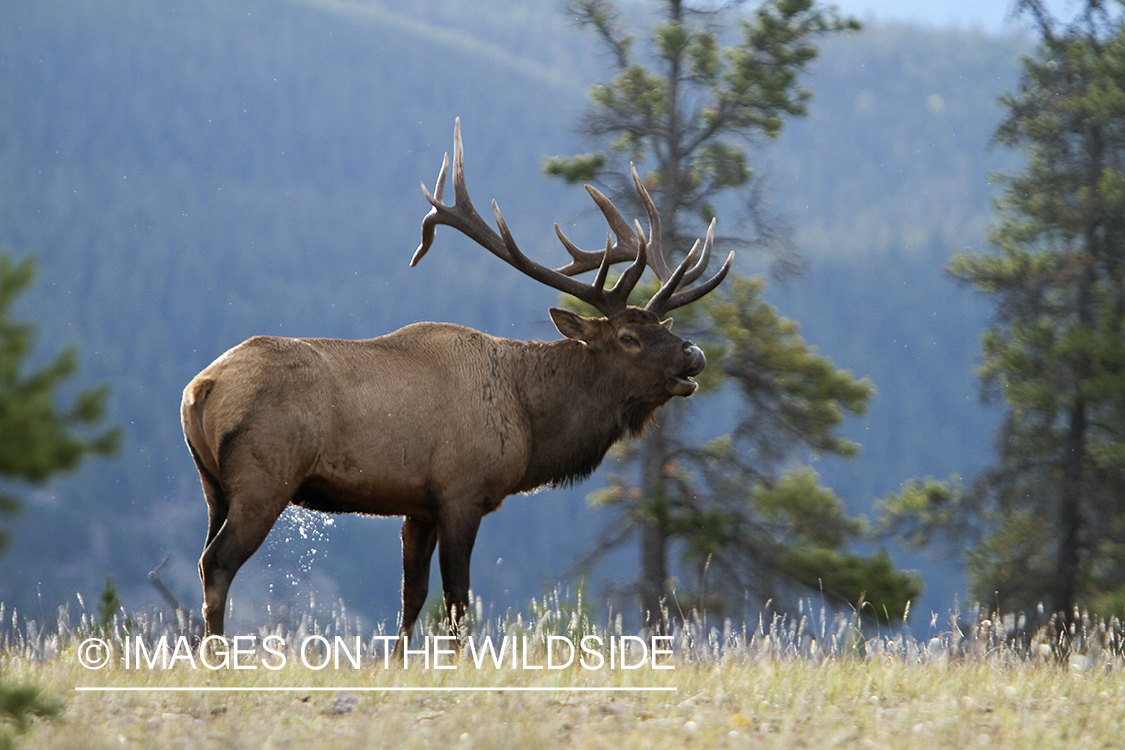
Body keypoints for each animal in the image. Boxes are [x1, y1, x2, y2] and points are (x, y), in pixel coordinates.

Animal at [181, 117, 733, 638]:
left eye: (665, 327)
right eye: (628, 337)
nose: (694, 355)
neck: (531, 424)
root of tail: (200, 388)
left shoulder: (418, 506)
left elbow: (411, 598)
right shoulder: (461, 492)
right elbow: (457, 603)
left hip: (213, 486)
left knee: (204, 559)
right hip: (264, 478)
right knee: (218, 563)